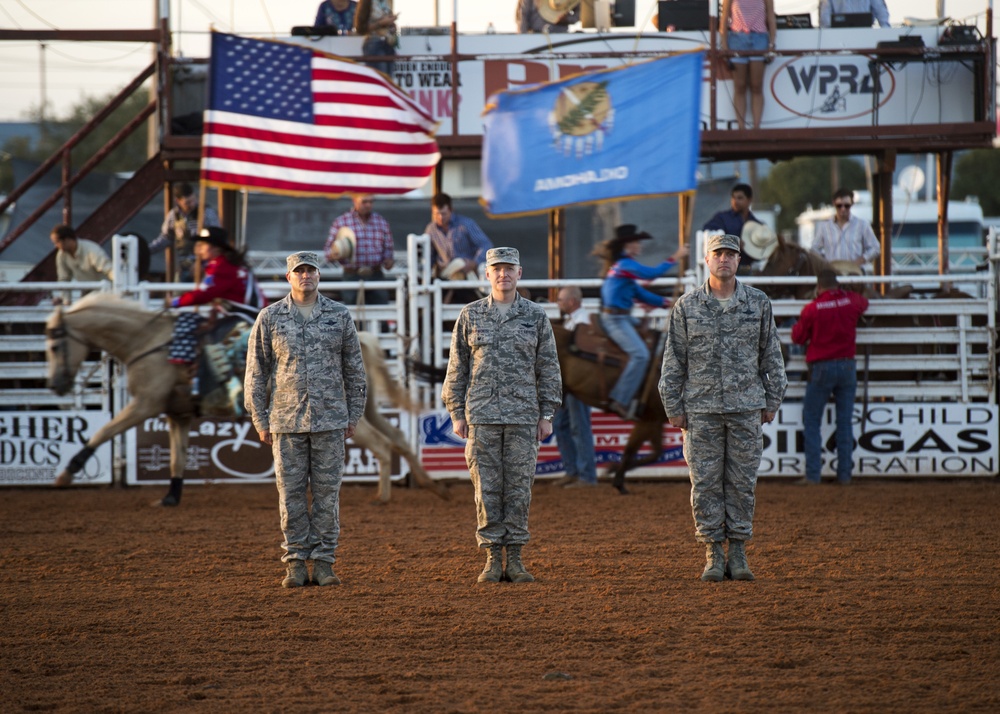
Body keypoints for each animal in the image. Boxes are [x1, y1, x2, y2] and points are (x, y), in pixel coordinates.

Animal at [47, 294, 446, 506]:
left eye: (53, 344)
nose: (55, 384)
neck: (148, 342)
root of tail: (362, 337)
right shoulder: (178, 414)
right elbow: (177, 457)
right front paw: (171, 497)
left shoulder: (144, 405)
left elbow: (103, 433)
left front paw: (67, 473)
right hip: (369, 409)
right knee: (398, 438)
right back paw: (428, 483)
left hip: (352, 419)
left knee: (381, 445)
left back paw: (381, 496)